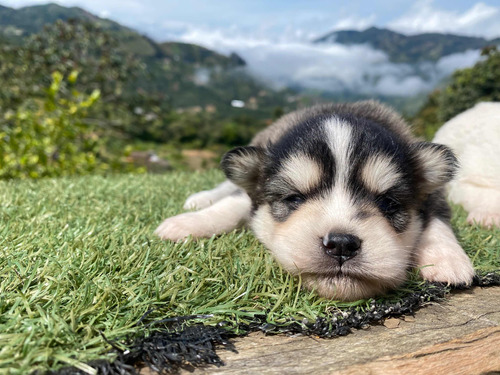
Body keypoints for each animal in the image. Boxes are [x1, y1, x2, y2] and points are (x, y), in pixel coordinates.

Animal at [155, 102, 472, 302]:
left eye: (388, 203)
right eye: (294, 198)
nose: (341, 244)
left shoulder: (436, 196)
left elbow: (438, 221)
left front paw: (447, 258)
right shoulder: (252, 195)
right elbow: (233, 204)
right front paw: (187, 224)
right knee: (228, 187)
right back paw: (199, 199)